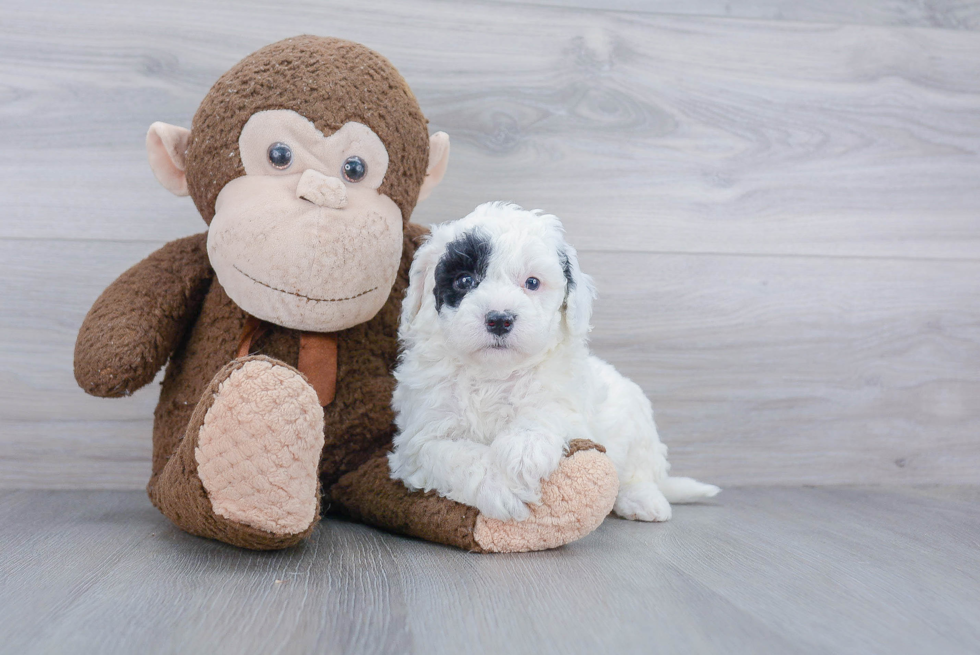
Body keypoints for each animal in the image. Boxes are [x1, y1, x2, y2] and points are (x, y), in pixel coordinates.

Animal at [388, 205, 720, 524]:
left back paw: (643, 501)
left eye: (532, 283)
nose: (499, 319)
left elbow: (546, 410)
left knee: (639, 472)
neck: (493, 374)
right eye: (464, 280)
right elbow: (452, 456)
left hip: (637, 424)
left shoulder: (567, 400)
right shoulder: (420, 439)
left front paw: (524, 450)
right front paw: (501, 487)